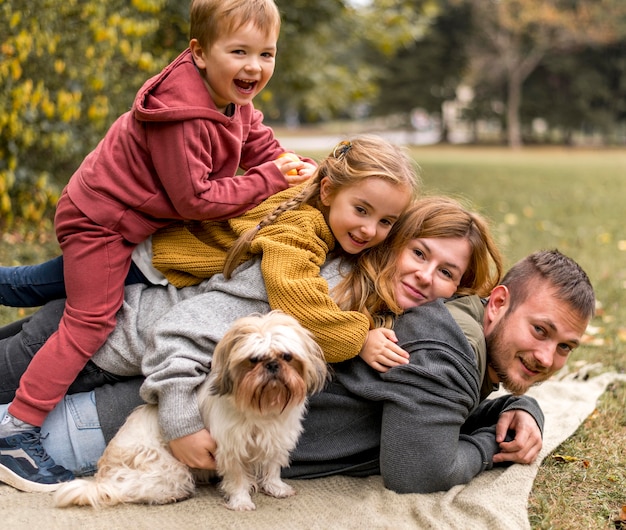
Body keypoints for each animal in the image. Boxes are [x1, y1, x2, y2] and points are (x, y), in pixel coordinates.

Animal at [53, 310, 326, 508]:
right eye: (253, 360)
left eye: (287, 357)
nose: (272, 365)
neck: (261, 407)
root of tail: (104, 476)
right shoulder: (230, 449)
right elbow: (237, 477)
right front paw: (241, 501)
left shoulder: (276, 438)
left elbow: (271, 467)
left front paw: (275, 487)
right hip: (171, 471)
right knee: (130, 491)